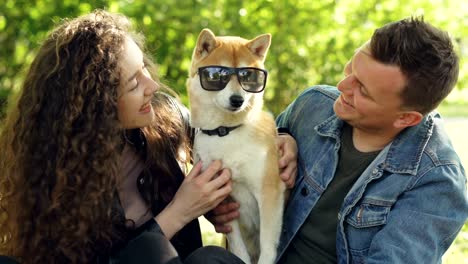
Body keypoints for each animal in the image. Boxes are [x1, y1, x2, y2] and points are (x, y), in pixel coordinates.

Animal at [186, 28, 286, 264]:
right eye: (217, 76)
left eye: (248, 76)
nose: (237, 100)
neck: (226, 132)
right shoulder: (223, 199)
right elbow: (237, 245)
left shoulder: (269, 191)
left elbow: (267, 245)